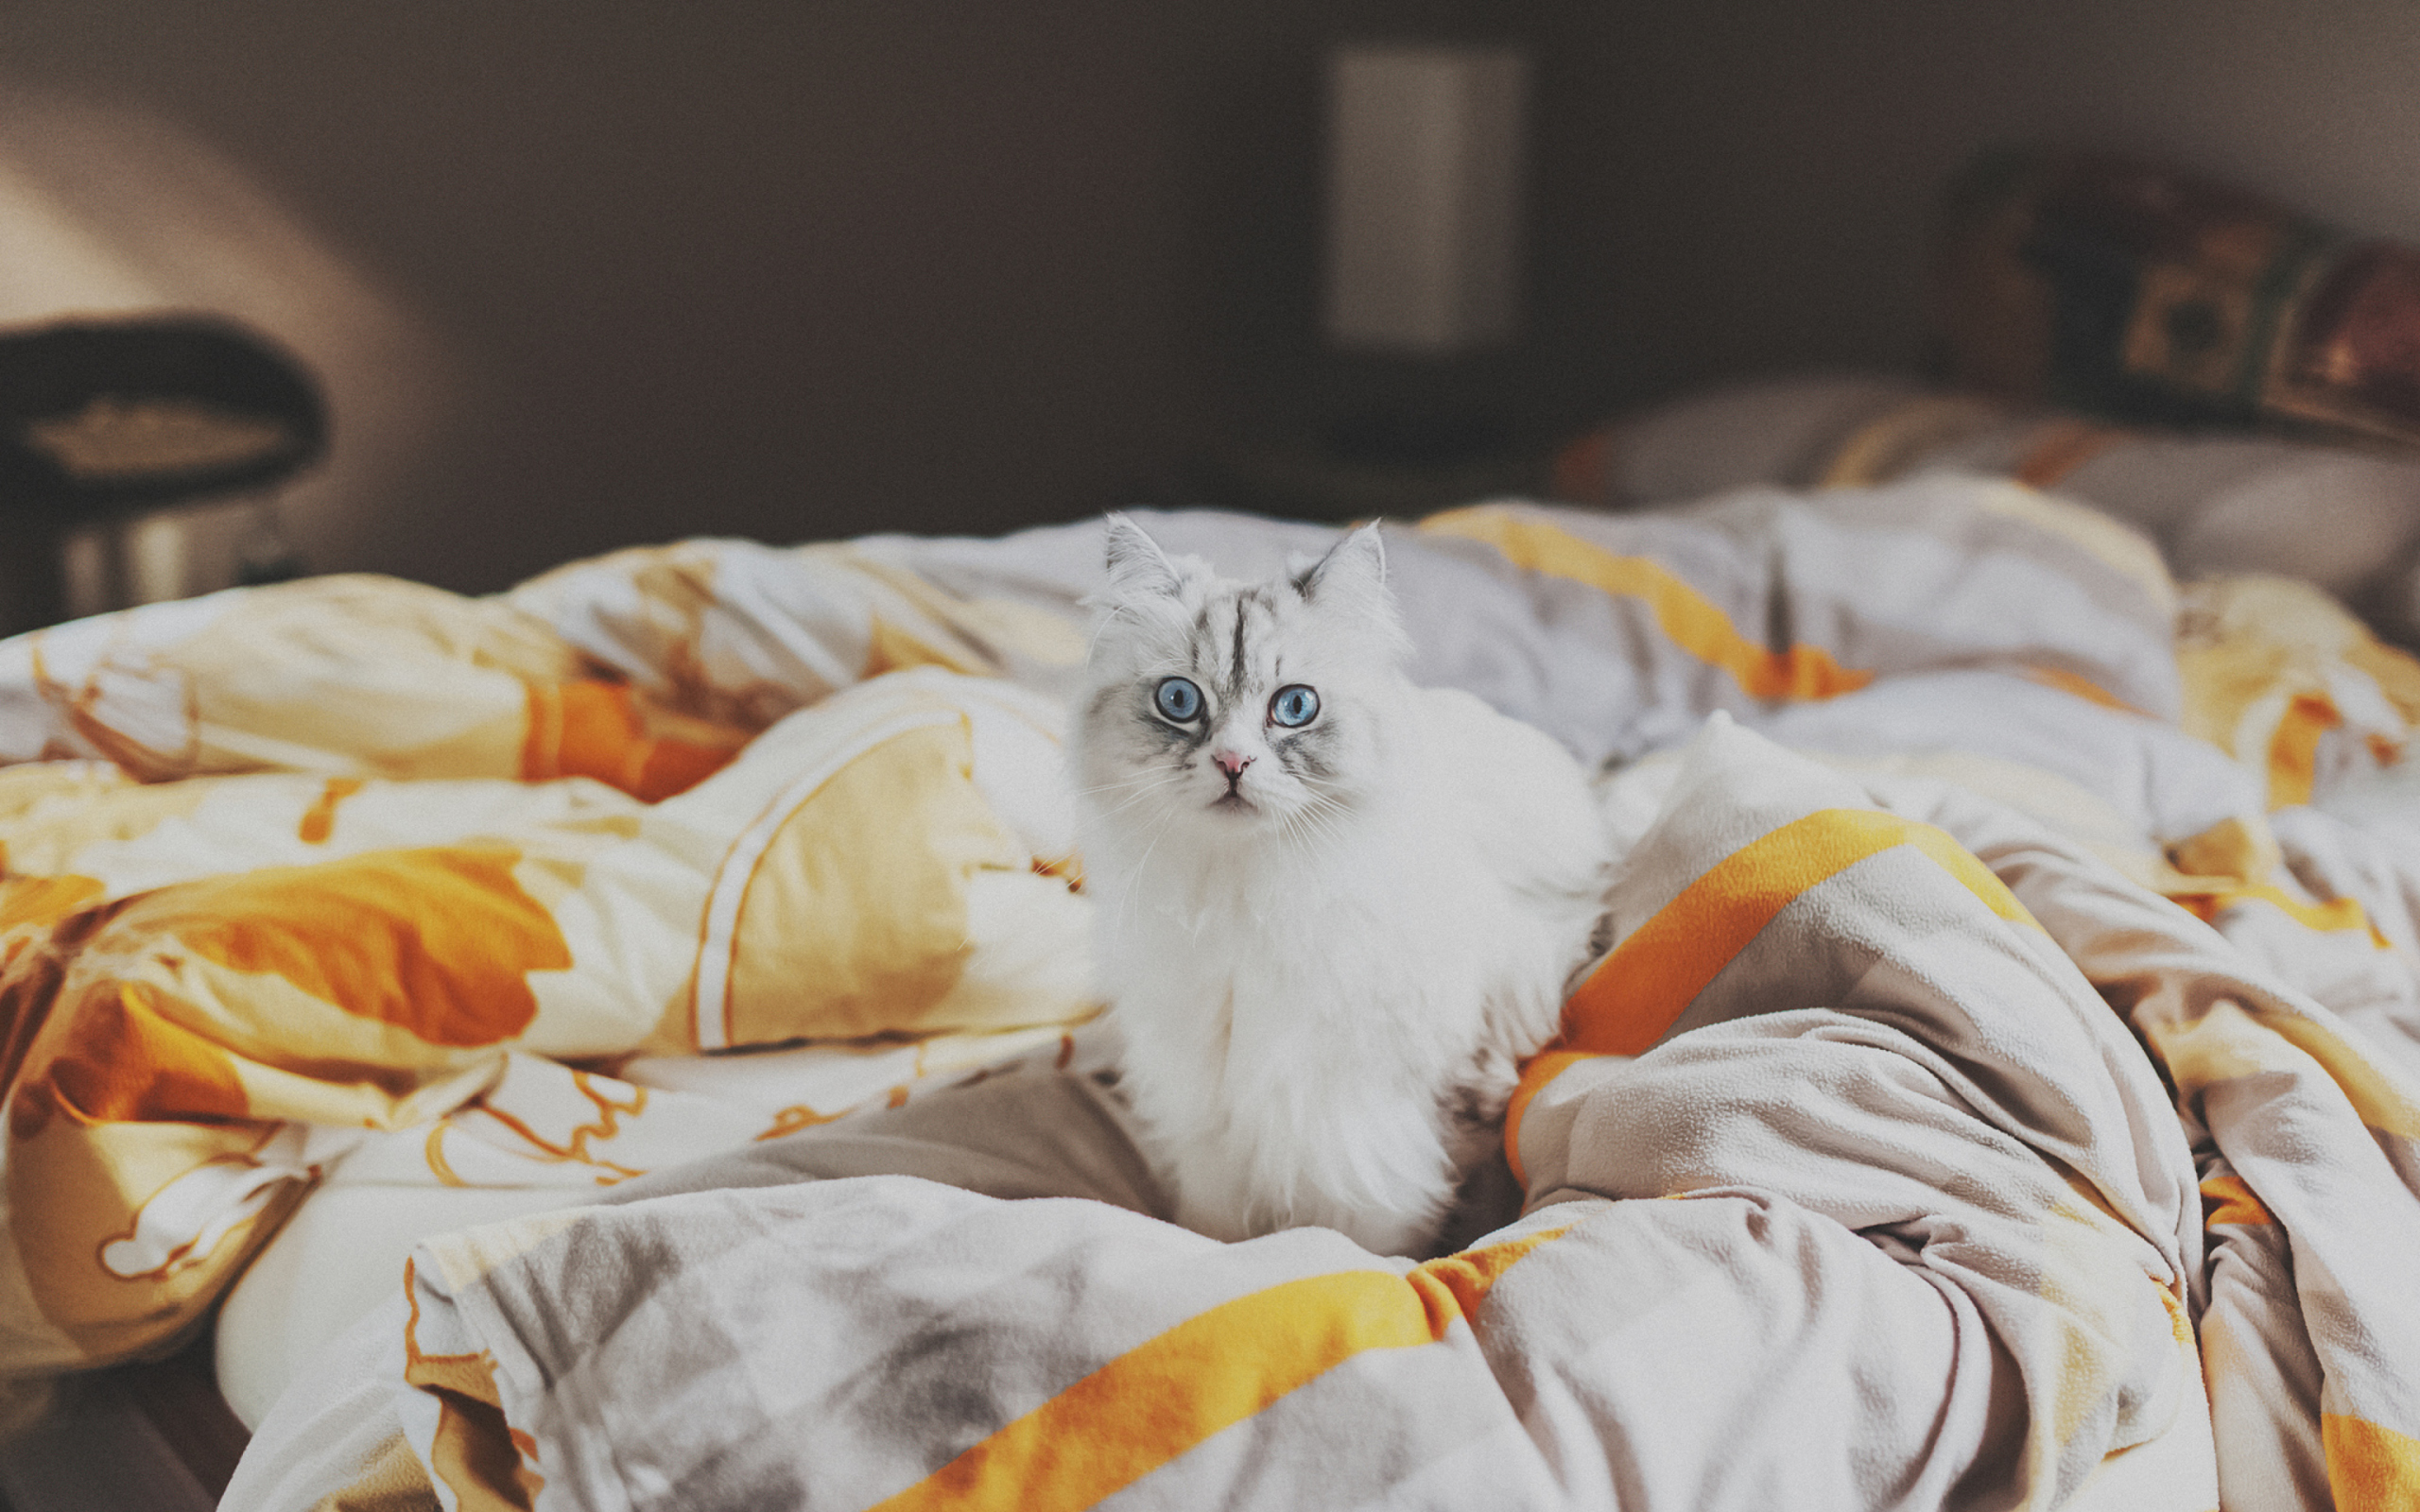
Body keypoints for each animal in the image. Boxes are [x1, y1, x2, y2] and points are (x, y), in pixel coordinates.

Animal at [1074, 512, 1606, 1258]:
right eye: (1179, 701)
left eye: (1295, 706)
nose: (1233, 763)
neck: (1249, 898)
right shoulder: (1209, 1109)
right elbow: (1212, 1223)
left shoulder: (1367, 1124)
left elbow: (1377, 1239)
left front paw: (1389, 1268)